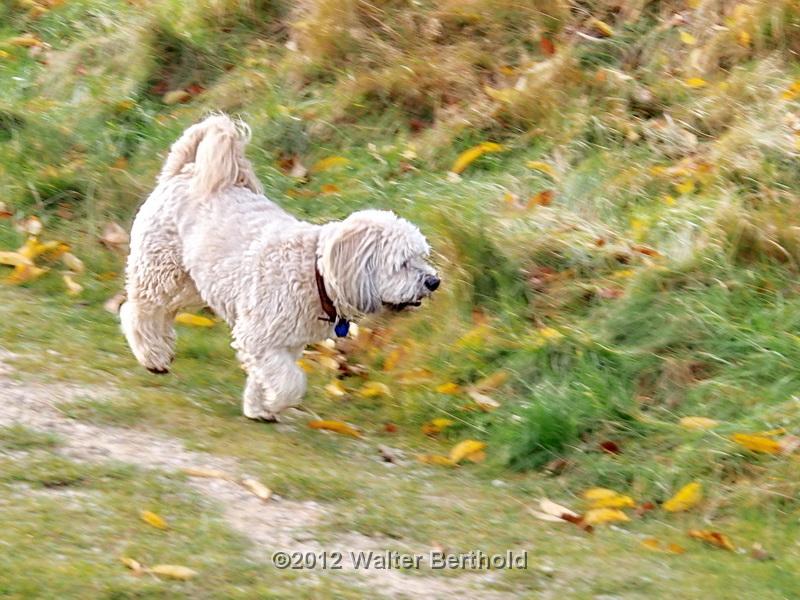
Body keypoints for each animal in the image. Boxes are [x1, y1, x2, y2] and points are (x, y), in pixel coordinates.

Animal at [122, 115, 440, 420]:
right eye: (403, 263)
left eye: (422, 256)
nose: (434, 282)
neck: (314, 273)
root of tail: (182, 172)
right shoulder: (259, 337)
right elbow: (290, 382)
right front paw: (277, 402)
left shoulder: (284, 343)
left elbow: (266, 376)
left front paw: (259, 407)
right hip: (160, 271)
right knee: (138, 311)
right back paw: (152, 356)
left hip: (192, 285)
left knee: (162, 314)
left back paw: (162, 349)